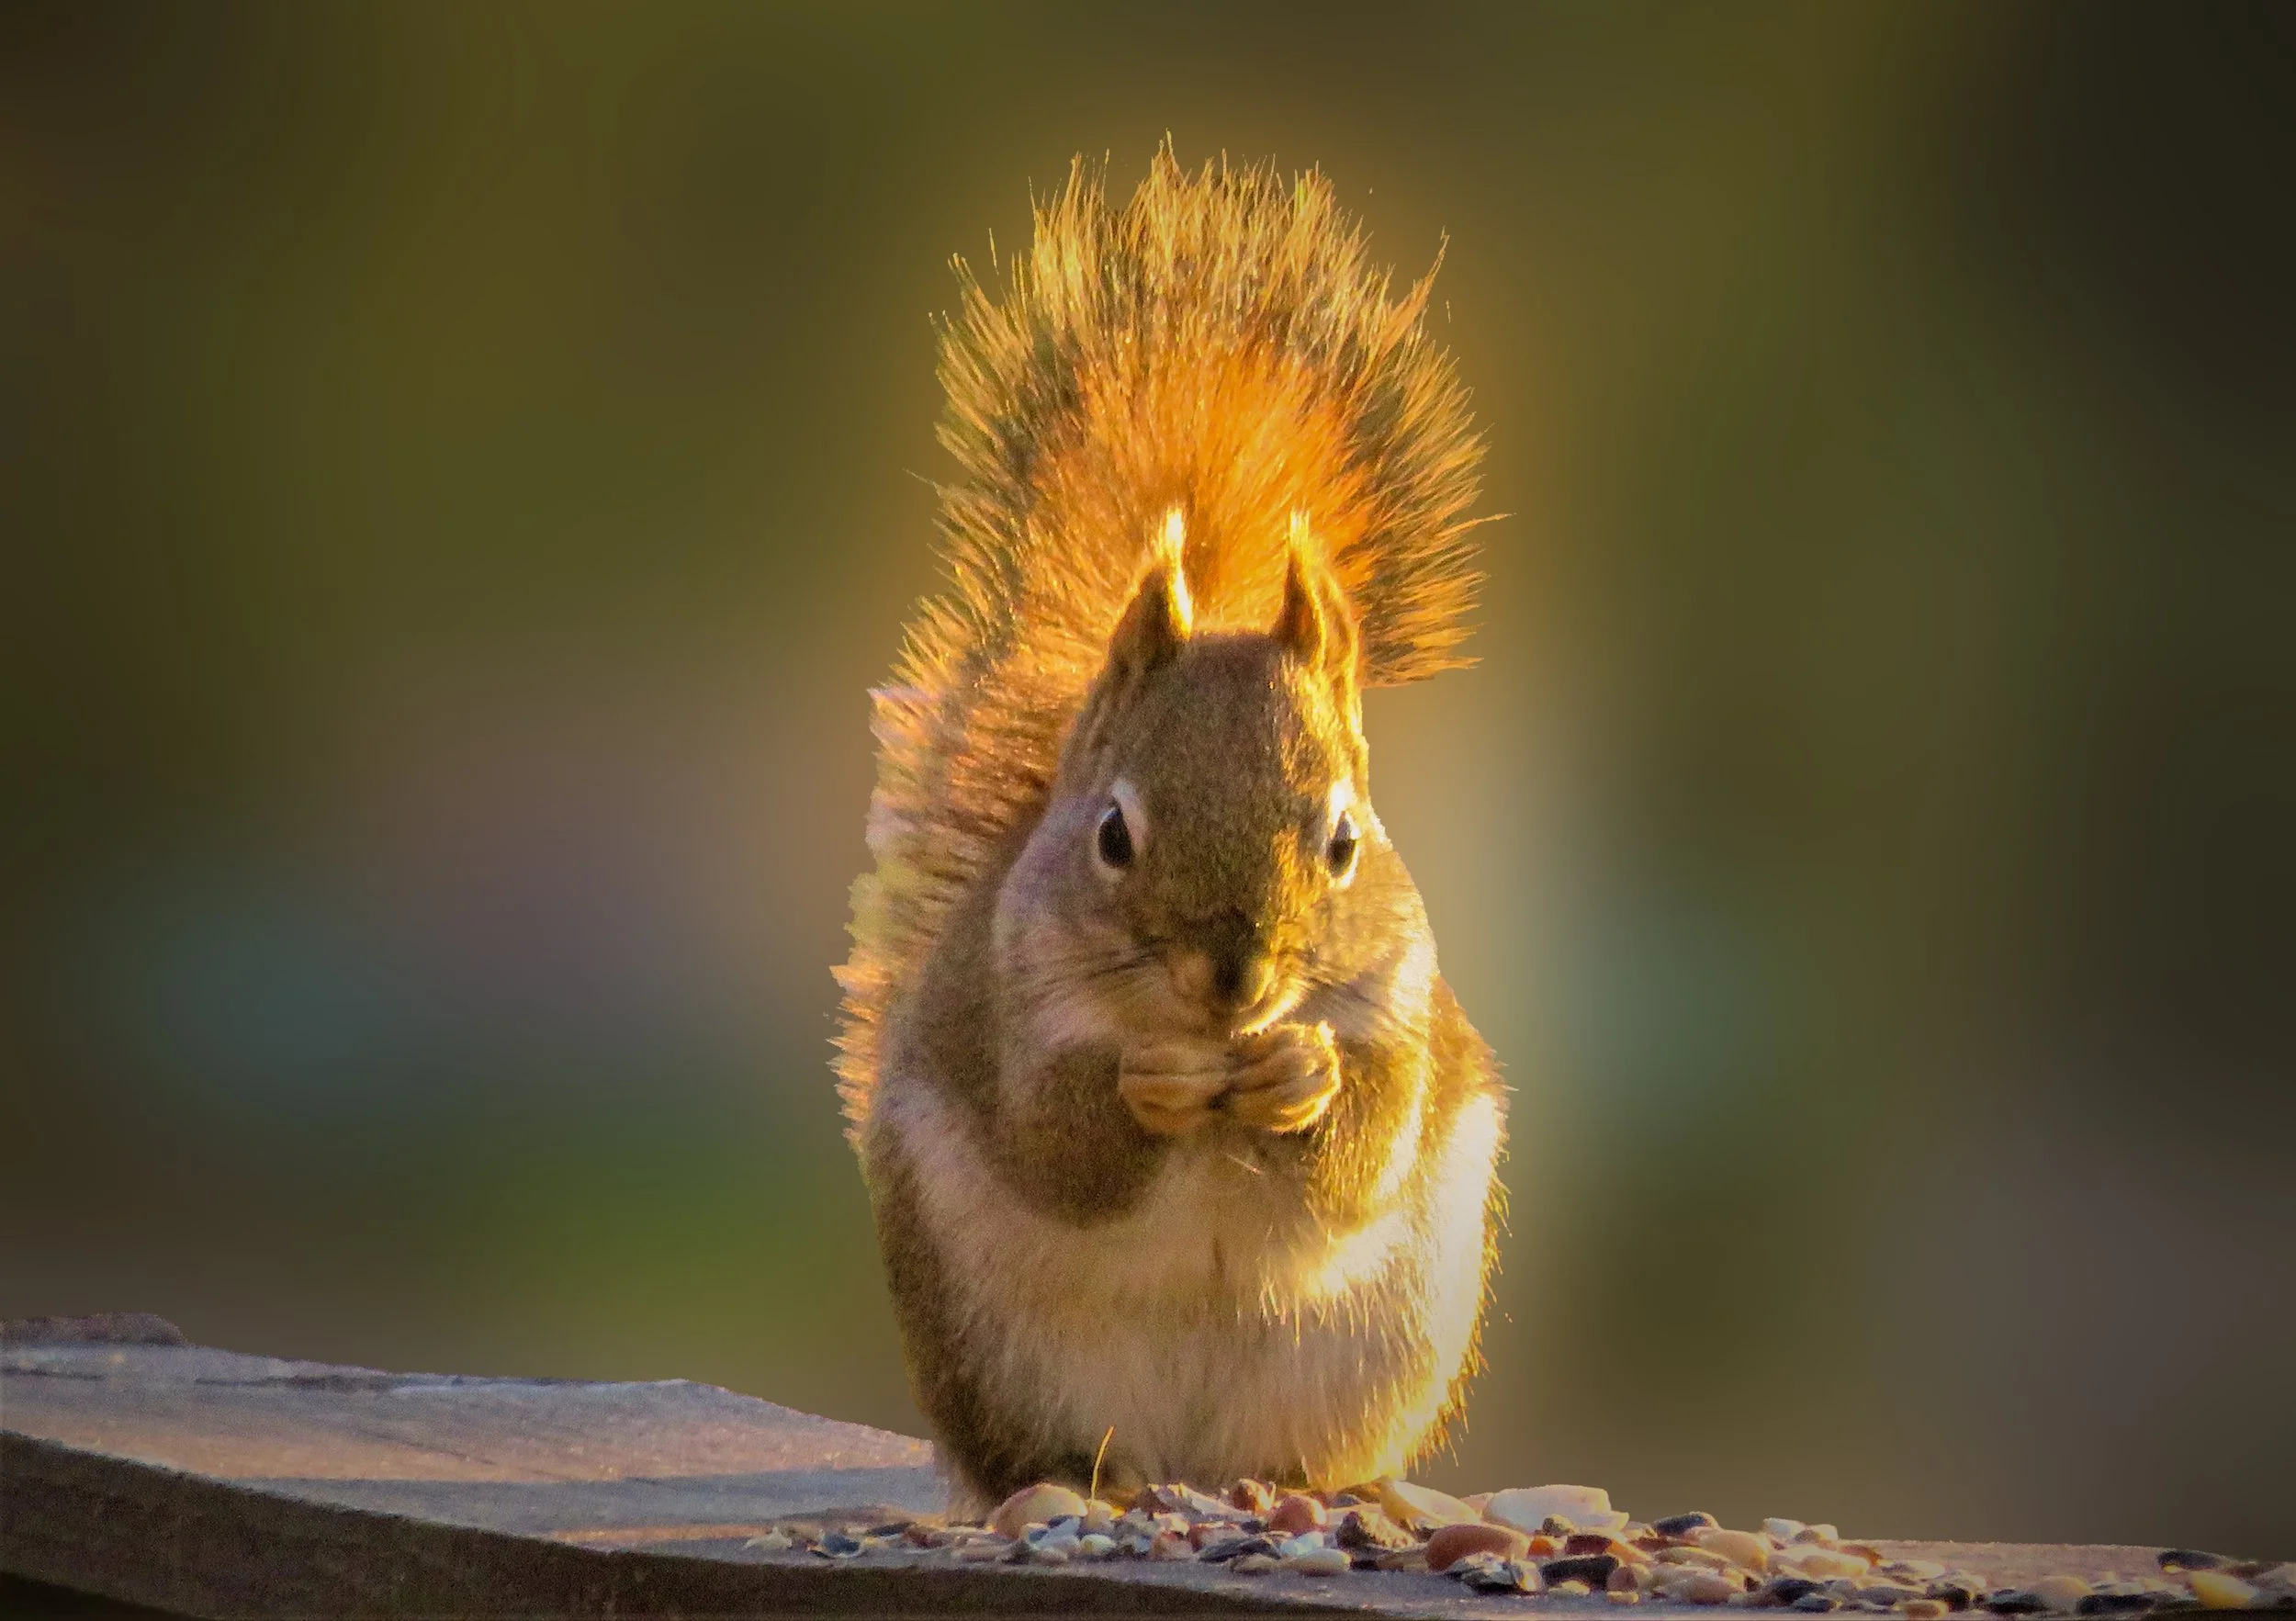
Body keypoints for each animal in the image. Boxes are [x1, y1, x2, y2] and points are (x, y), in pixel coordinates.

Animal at [836, 148, 1506, 1514]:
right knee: (1063, 1447)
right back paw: (1084, 1486)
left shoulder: (1401, 999)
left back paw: (1327, 1492)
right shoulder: (1011, 1009)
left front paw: (1300, 1075)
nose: (1234, 980)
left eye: (1346, 842)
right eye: (1110, 836)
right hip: (1000, 1353)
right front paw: (1149, 1084)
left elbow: (1369, 1136)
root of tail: (1195, 1461)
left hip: (1377, 1347)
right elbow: (1055, 1141)